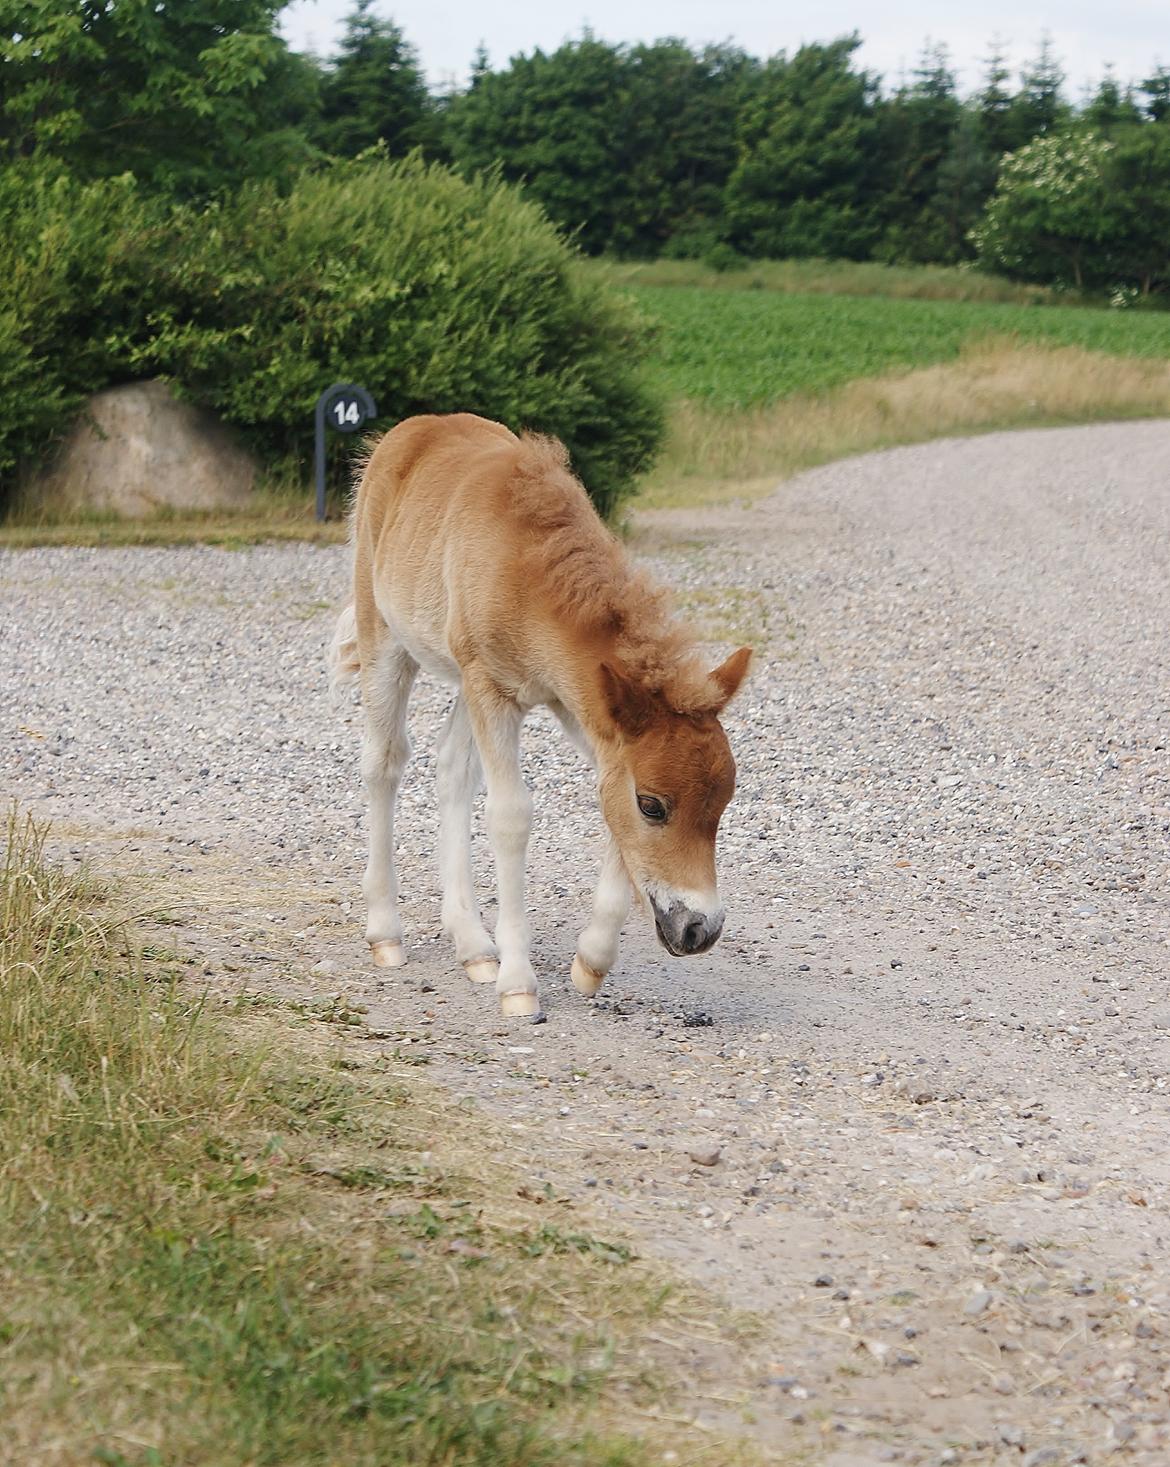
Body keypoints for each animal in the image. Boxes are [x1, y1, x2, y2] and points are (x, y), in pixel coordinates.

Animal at [329, 407, 750, 1015]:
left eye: (722, 805)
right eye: (652, 806)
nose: (700, 930)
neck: (525, 569)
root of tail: (411, 429)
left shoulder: (578, 706)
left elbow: (604, 804)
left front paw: (590, 962)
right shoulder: (493, 687)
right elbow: (510, 817)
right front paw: (518, 983)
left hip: (464, 680)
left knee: (452, 768)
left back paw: (473, 945)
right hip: (386, 634)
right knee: (384, 762)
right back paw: (386, 932)